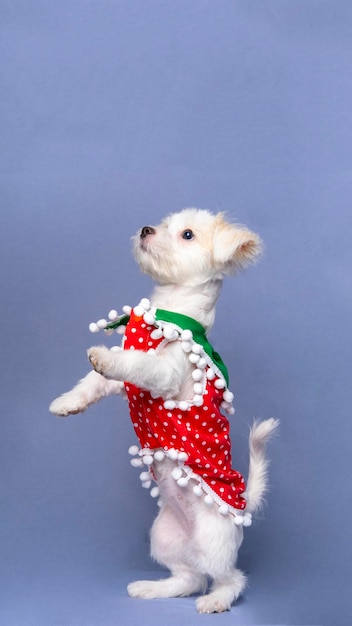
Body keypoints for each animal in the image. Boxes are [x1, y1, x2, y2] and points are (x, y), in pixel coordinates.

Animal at [49, 207, 280, 612]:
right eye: (162, 223)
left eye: (187, 234)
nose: (145, 229)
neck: (164, 315)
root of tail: (243, 506)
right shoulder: (118, 386)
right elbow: (92, 384)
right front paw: (67, 403)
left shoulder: (166, 374)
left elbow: (135, 363)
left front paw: (104, 357)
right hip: (164, 536)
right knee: (189, 578)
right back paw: (151, 588)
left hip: (212, 538)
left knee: (229, 578)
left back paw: (215, 601)